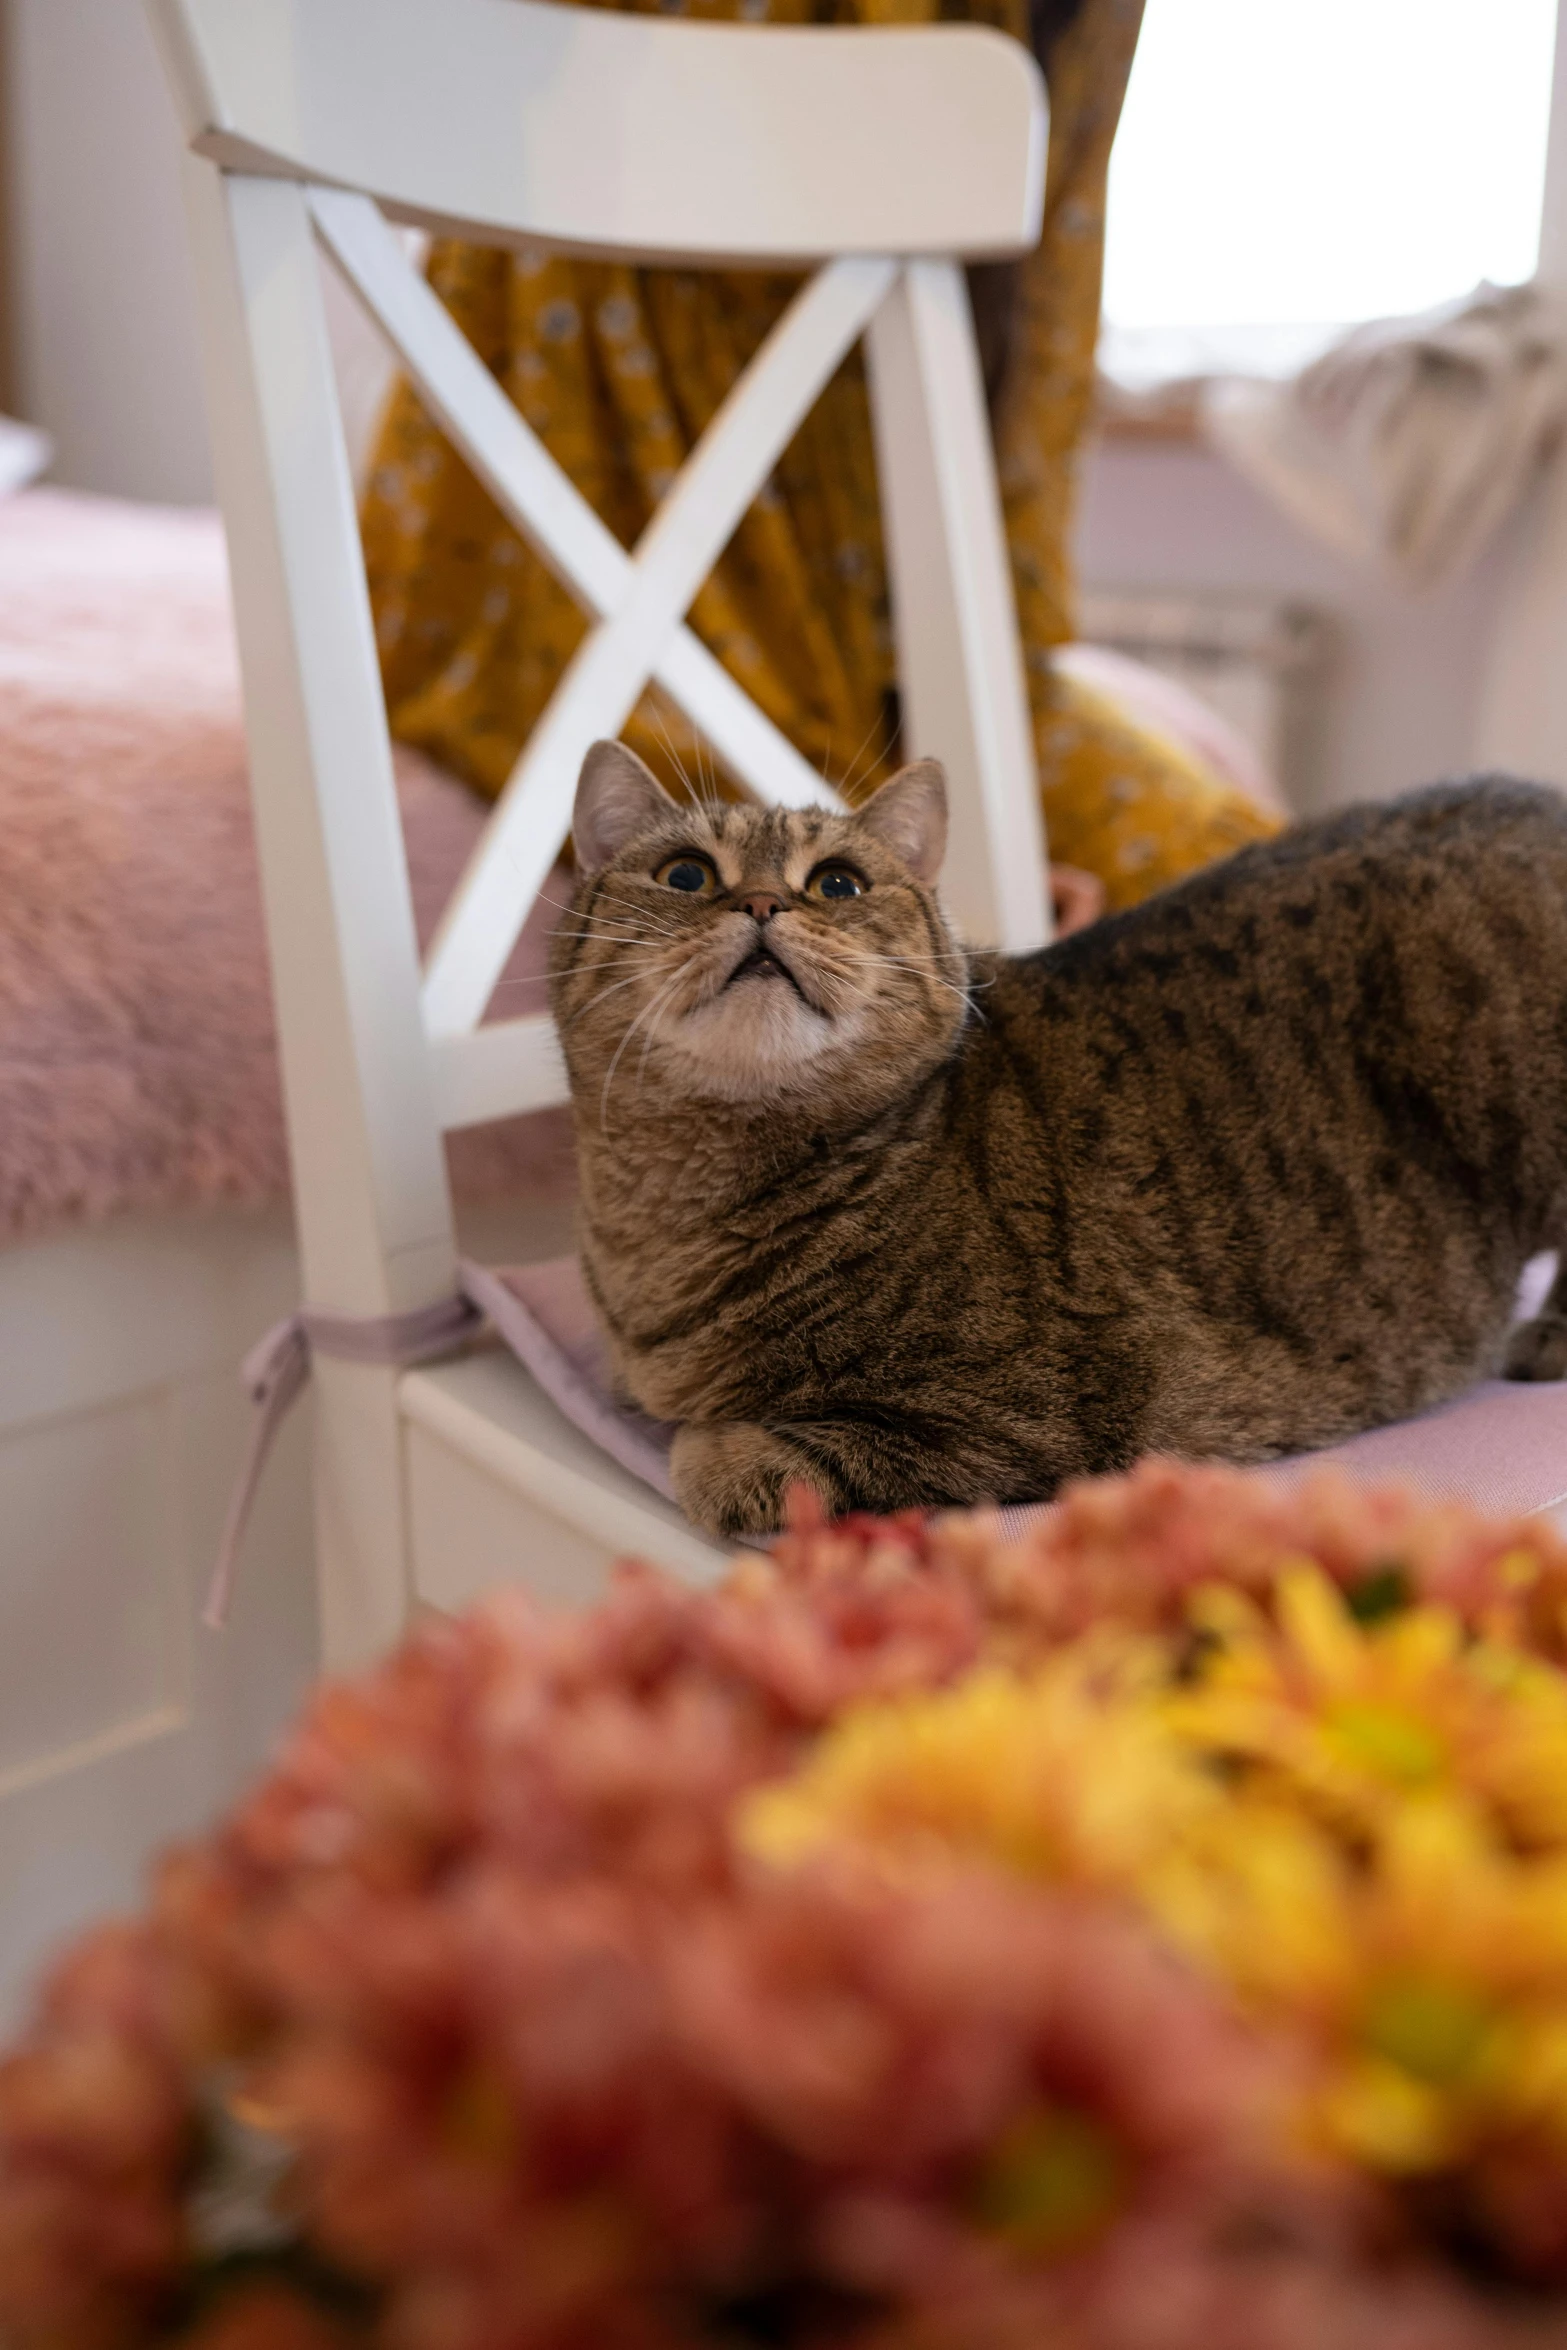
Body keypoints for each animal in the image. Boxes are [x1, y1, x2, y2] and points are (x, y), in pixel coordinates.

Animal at [549, 737, 1567, 1541]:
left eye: (837, 882)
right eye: (686, 874)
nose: (762, 903)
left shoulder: (1053, 1405)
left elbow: (723, 1456)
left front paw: (714, 1447)